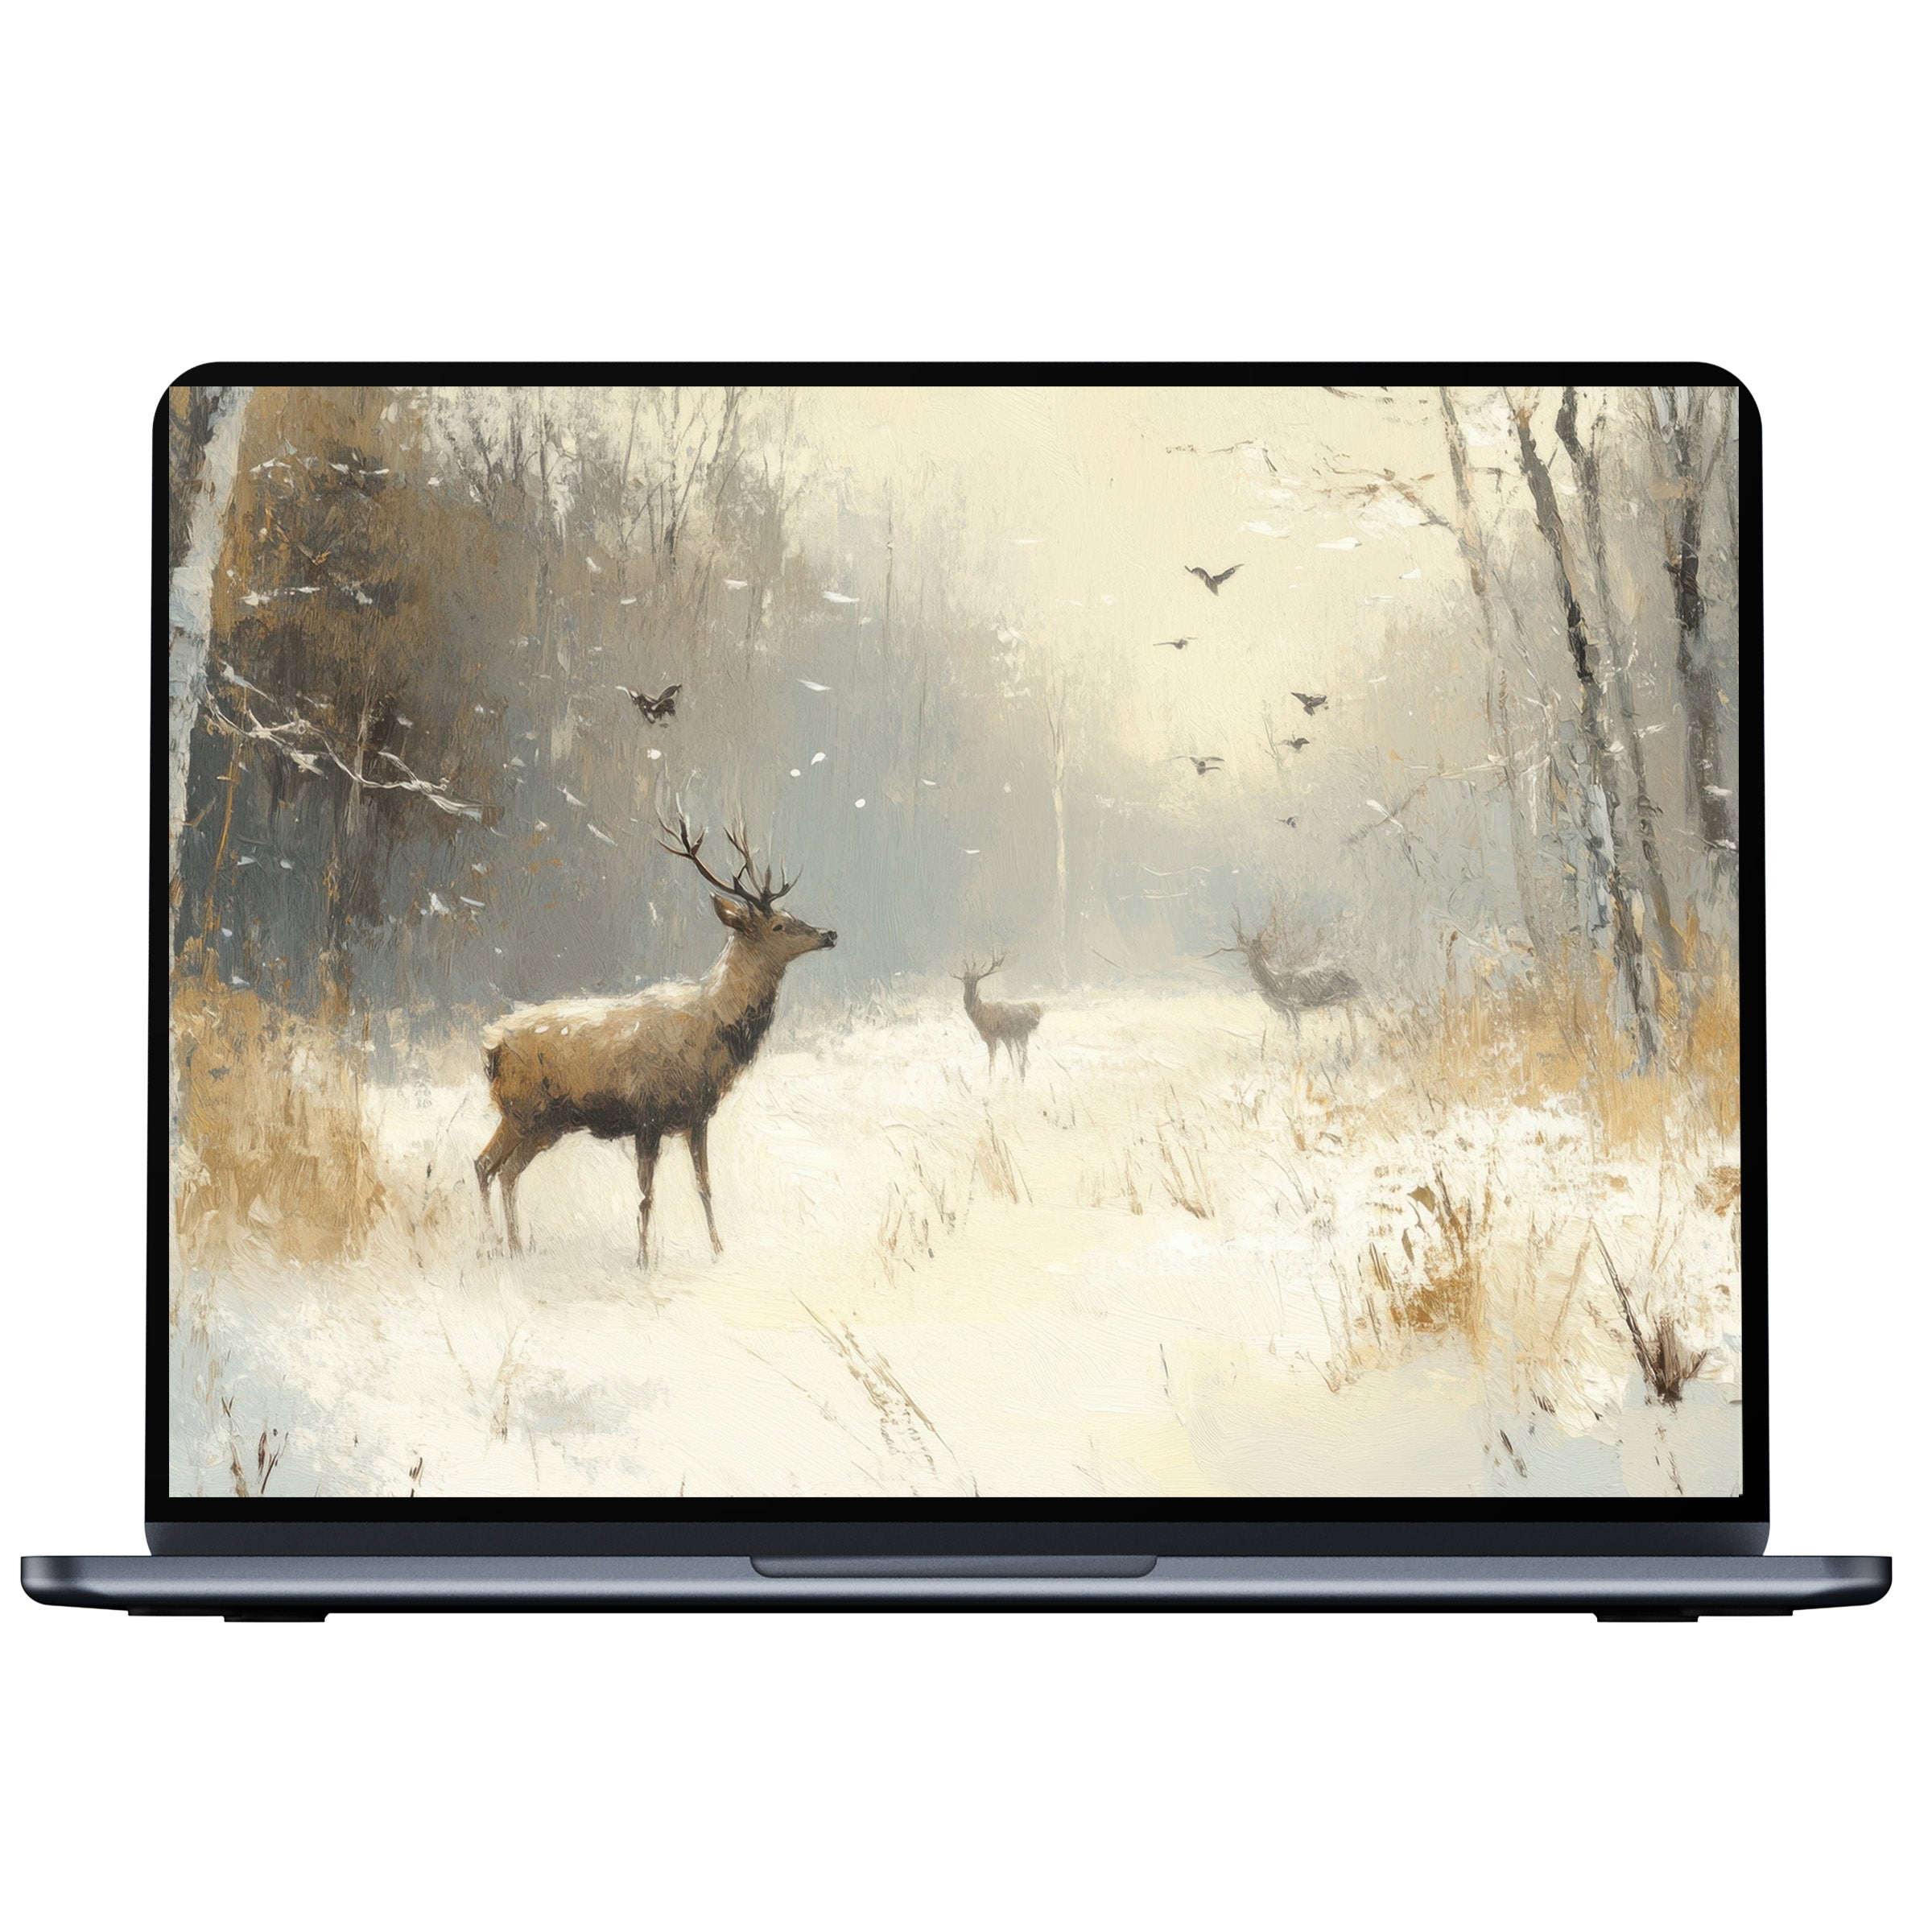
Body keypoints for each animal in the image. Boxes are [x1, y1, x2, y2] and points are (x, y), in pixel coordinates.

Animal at [474, 808, 836, 1265]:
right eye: (778, 924)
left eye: (790, 916)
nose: (829, 934)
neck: (712, 1032)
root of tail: (490, 1047)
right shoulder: (647, 1113)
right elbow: (646, 1194)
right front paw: (645, 1261)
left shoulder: (696, 1115)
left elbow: (704, 1185)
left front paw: (718, 1251)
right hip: (521, 1109)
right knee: (484, 1164)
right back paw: (490, 1246)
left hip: (546, 1123)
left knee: (506, 1171)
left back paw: (517, 1248)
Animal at [956, 948, 1044, 1081]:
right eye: (965, 978)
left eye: (976, 979)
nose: (968, 1000)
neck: (981, 1019)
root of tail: (1036, 1011)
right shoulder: (991, 1038)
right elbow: (993, 1060)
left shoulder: (998, 1036)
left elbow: (997, 1060)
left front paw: (995, 1078)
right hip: (1019, 1036)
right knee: (1022, 1054)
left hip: (1019, 1034)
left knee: (1021, 1054)